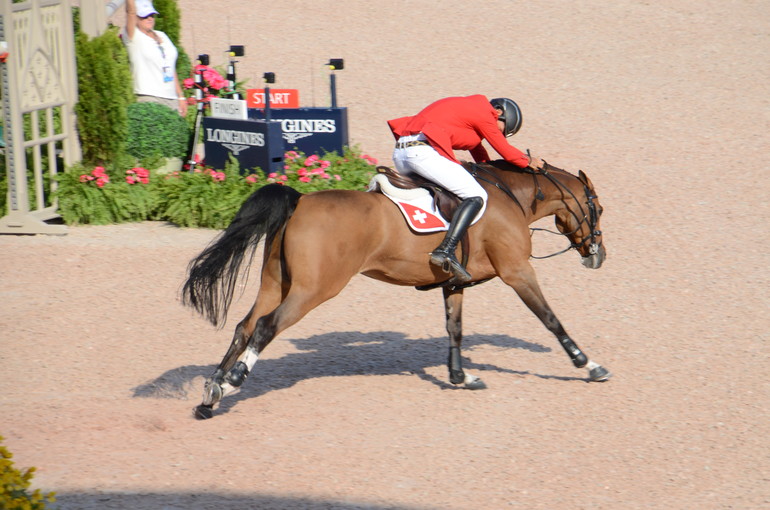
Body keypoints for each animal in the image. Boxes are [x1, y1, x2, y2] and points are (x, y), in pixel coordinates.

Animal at [183, 159, 608, 418]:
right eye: (599, 209)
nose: (598, 255)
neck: (510, 196)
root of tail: (300, 201)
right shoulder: (517, 272)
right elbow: (551, 319)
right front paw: (589, 365)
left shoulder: (454, 282)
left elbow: (455, 329)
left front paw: (461, 377)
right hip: (313, 289)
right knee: (266, 326)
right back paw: (232, 382)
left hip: (276, 282)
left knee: (245, 326)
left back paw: (211, 392)